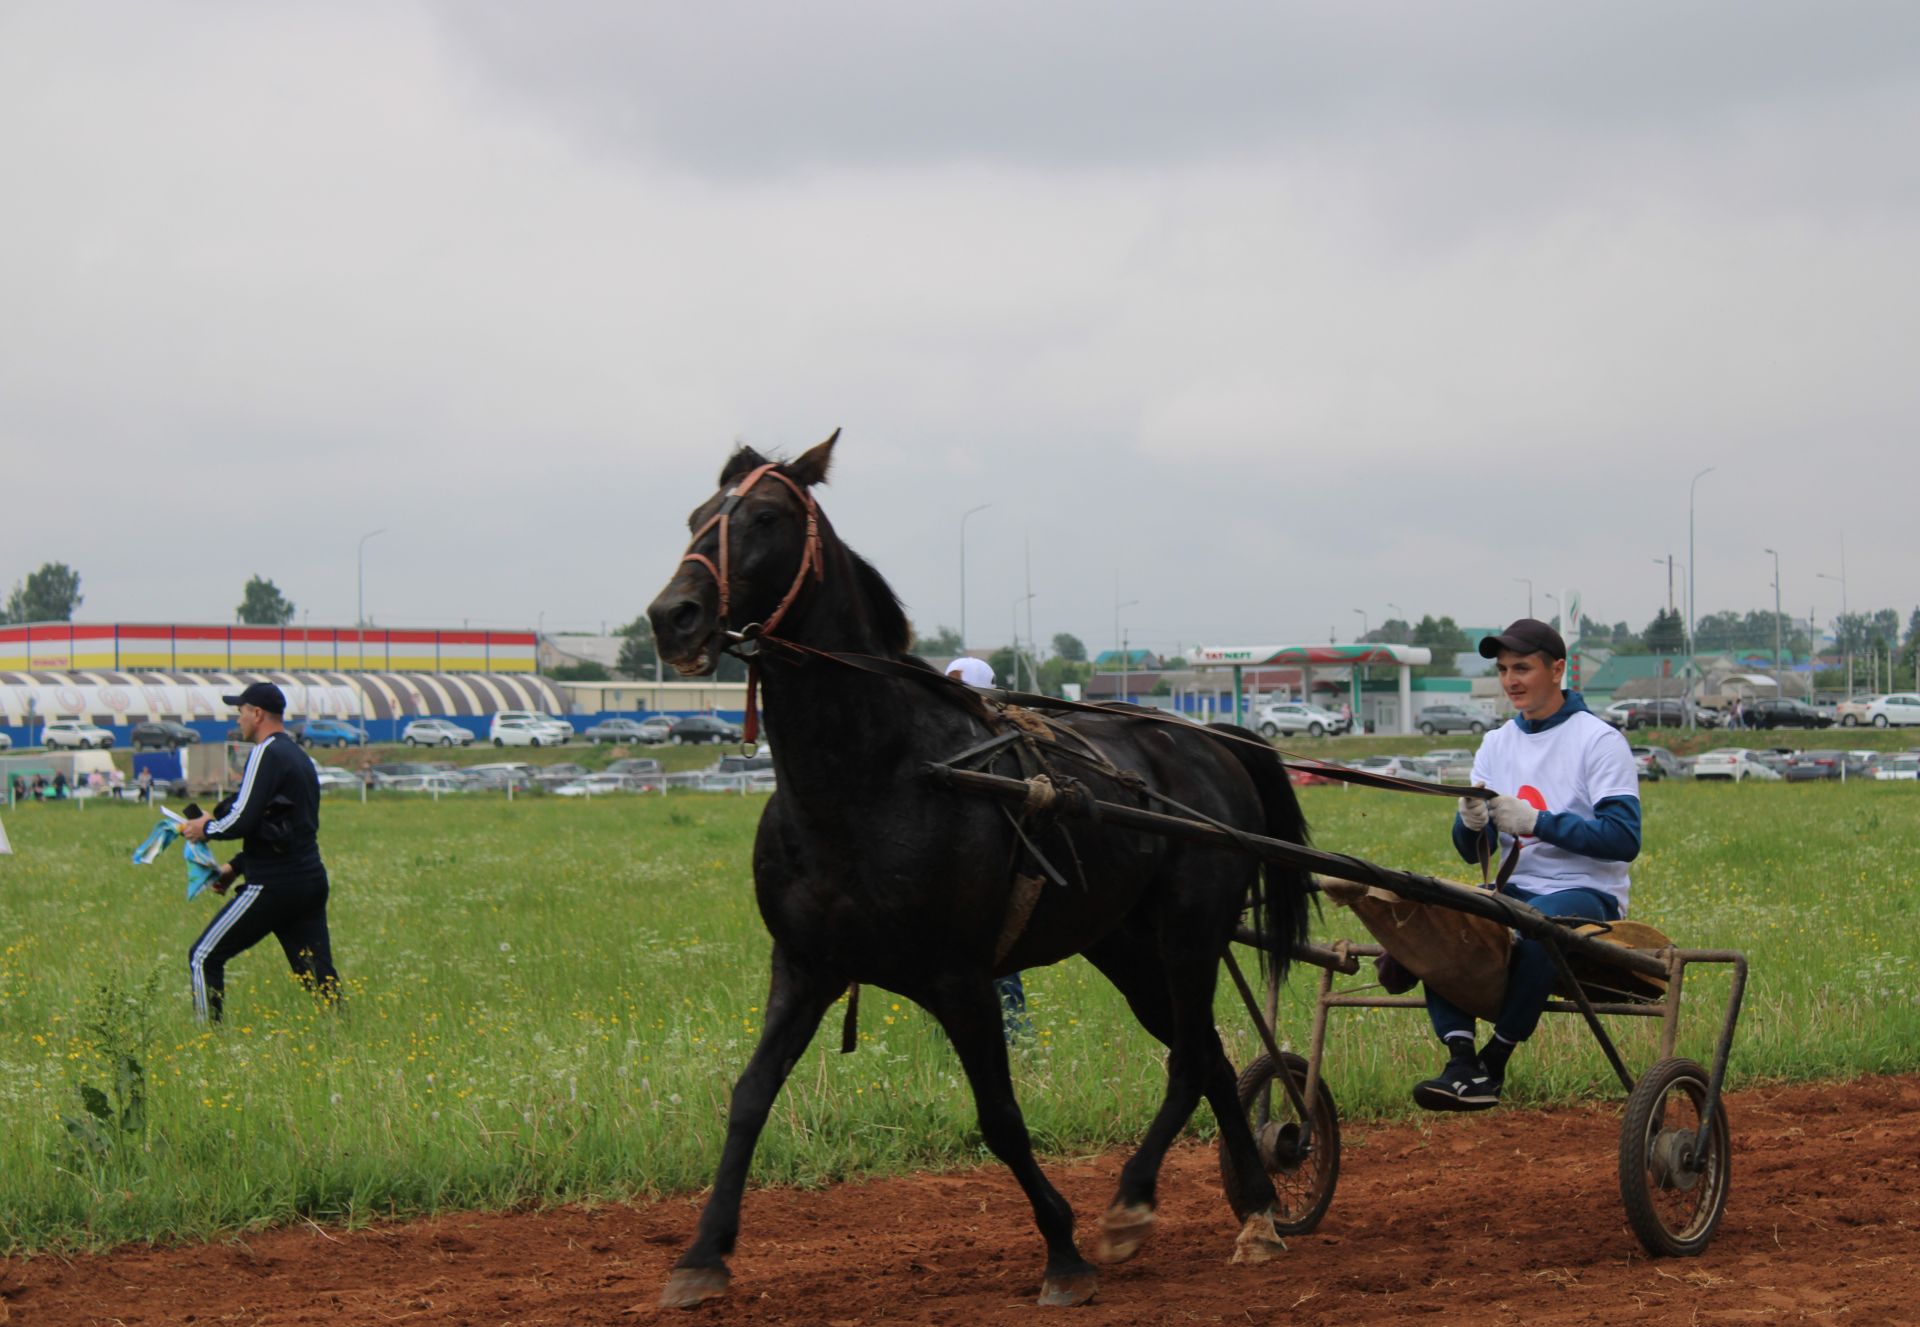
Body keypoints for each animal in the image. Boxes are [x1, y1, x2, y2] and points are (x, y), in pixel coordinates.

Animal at [652, 435, 1313, 1305]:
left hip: (1189, 933)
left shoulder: (960, 976)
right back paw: (1233, 1207)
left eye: (764, 516)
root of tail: (1212, 739)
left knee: (1191, 1055)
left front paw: (1062, 1252)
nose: (672, 616)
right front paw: (702, 1254)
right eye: (696, 515)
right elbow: (749, 1095)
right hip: (1122, 943)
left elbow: (999, 1114)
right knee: (1205, 1052)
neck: (877, 774)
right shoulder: (803, 963)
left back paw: (1172, 1203)